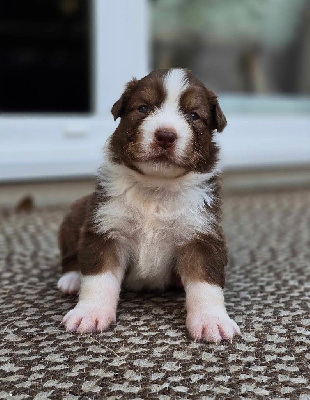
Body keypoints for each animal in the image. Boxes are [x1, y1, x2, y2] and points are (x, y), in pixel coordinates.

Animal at [58, 67, 242, 342]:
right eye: (143, 108)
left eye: (193, 115)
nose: (165, 135)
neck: (156, 189)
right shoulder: (106, 228)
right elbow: (98, 277)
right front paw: (89, 314)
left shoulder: (202, 234)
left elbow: (206, 282)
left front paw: (212, 321)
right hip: (76, 211)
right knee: (71, 257)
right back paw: (71, 280)